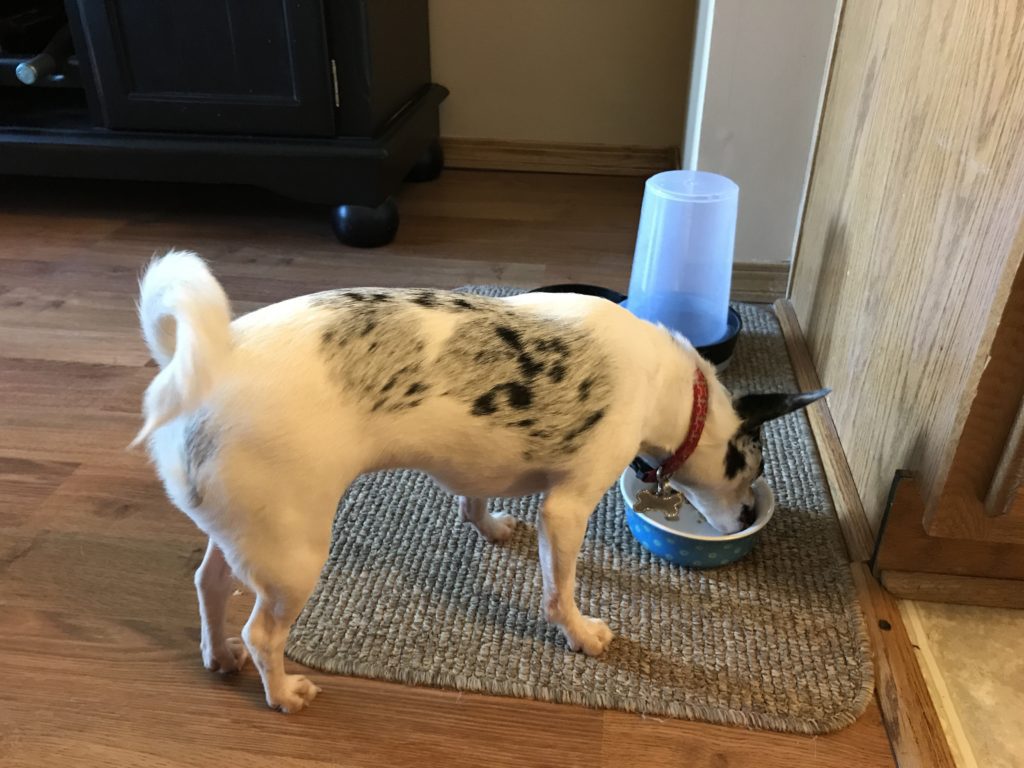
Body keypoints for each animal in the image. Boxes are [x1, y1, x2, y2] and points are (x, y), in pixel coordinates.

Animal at [132, 252, 827, 716]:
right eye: (756, 469)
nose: (747, 520)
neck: (676, 391)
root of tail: (209, 362)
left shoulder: (477, 467)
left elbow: (474, 503)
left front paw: (490, 526)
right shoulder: (567, 509)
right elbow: (560, 593)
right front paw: (580, 635)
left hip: (246, 536)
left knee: (210, 585)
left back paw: (218, 655)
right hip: (293, 555)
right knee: (263, 634)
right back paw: (282, 692)